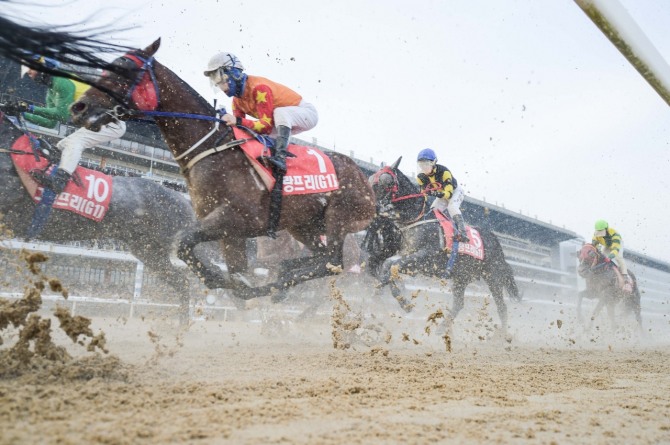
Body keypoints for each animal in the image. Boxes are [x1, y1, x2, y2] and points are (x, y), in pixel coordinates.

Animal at [70, 40, 376, 300]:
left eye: (124, 70)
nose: (78, 107)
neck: (212, 148)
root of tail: (367, 180)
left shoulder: (239, 219)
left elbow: (184, 242)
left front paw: (229, 283)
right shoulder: (227, 230)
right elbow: (229, 267)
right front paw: (235, 283)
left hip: (338, 215)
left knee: (332, 261)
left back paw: (276, 284)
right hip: (304, 225)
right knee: (322, 259)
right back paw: (283, 275)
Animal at [368, 158, 520, 332]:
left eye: (385, 182)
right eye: (370, 179)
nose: (370, 205)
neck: (416, 219)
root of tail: (497, 243)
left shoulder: (424, 258)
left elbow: (391, 268)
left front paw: (401, 302)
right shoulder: (409, 257)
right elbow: (388, 266)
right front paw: (394, 300)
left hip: (493, 277)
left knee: (502, 308)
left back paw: (501, 335)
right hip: (462, 277)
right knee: (459, 304)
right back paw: (441, 329)